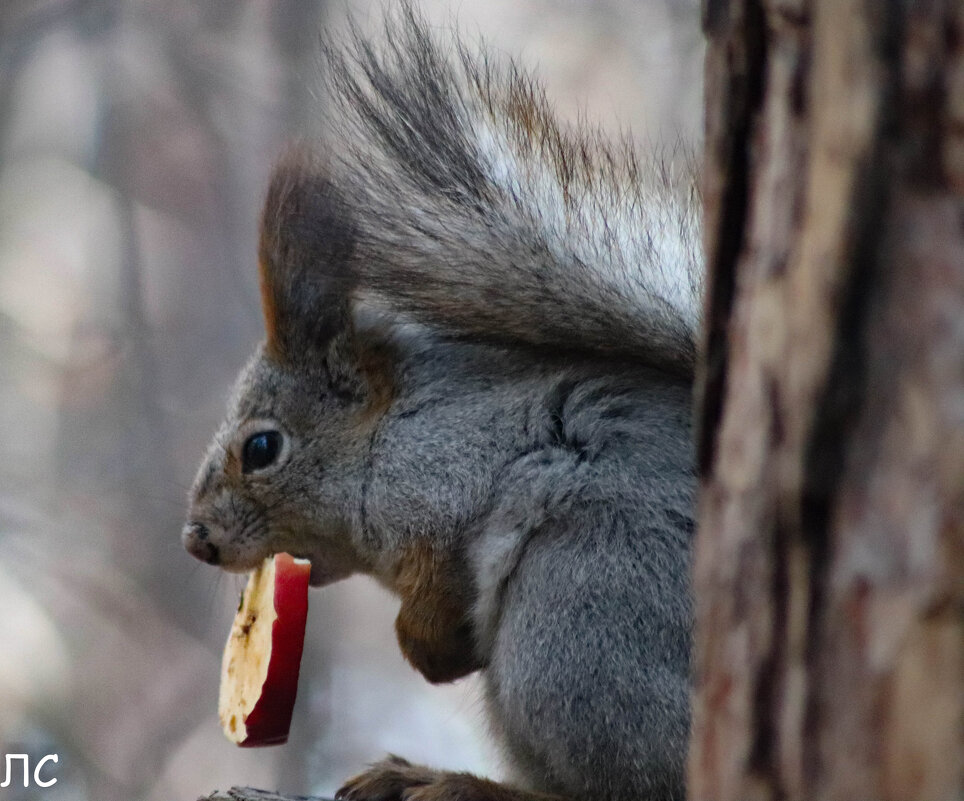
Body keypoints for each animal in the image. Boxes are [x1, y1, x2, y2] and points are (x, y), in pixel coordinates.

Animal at [185, 6, 704, 800]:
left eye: (262, 447)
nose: (196, 539)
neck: (385, 435)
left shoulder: (456, 474)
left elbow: (445, 572)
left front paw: (426, 647)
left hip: (576, 629)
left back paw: (457, 781)